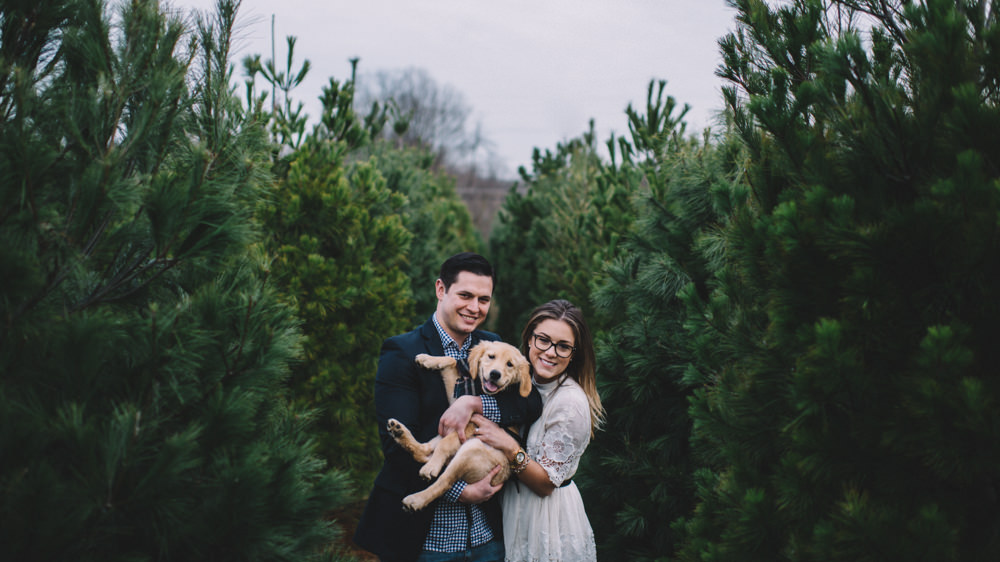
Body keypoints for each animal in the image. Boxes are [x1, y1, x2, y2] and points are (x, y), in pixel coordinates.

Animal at [386, 340, 536, 510]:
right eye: (491, 356)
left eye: (510, 364)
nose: (495, 374)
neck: (481, 390)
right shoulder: (457, 399)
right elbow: (451, 361)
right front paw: (427, 359)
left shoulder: (471, 424)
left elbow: (445, 445)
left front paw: (432, 467)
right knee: (423, 451)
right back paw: (399, 431)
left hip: (472, 449)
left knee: (444, 480)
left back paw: (418, 496)